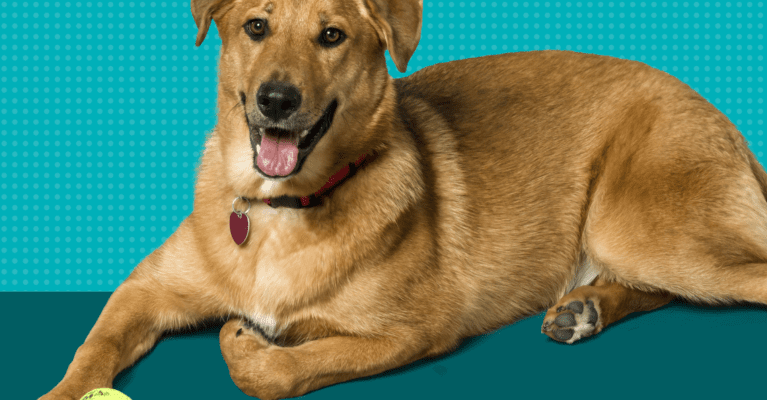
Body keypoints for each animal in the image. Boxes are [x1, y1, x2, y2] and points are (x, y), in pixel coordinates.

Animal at [39, 0, 767, 398]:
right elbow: (91, 349)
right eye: (255, 26)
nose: (277, 100)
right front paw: (63, 393)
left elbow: (288, 367)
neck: (281, 211)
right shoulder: (144, 292)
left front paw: (246, 347)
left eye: (332, 36)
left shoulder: (414, 330)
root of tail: (717, 112)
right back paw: (584, 308)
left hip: (639, 229)